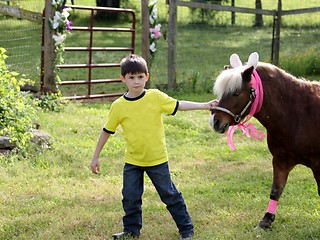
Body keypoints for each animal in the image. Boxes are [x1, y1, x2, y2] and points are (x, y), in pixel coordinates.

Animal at [210, 52, 320, 229]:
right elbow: (276, 190)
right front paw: (267, 219)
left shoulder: (318, 165)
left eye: (236, 93)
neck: (298, 114)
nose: (216, 122)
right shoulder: (281, 161)